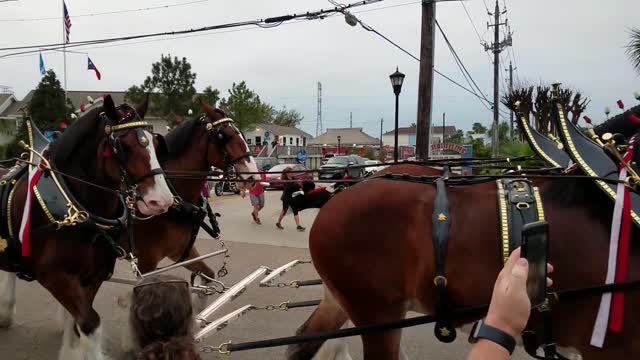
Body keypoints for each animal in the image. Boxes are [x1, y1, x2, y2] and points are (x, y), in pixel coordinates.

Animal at [0, 95, 174, 360]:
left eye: (155, 142)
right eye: (124, 146)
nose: (161, 200)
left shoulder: (93, 276)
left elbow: (77, 322)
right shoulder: (54, 276)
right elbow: (90, 324)